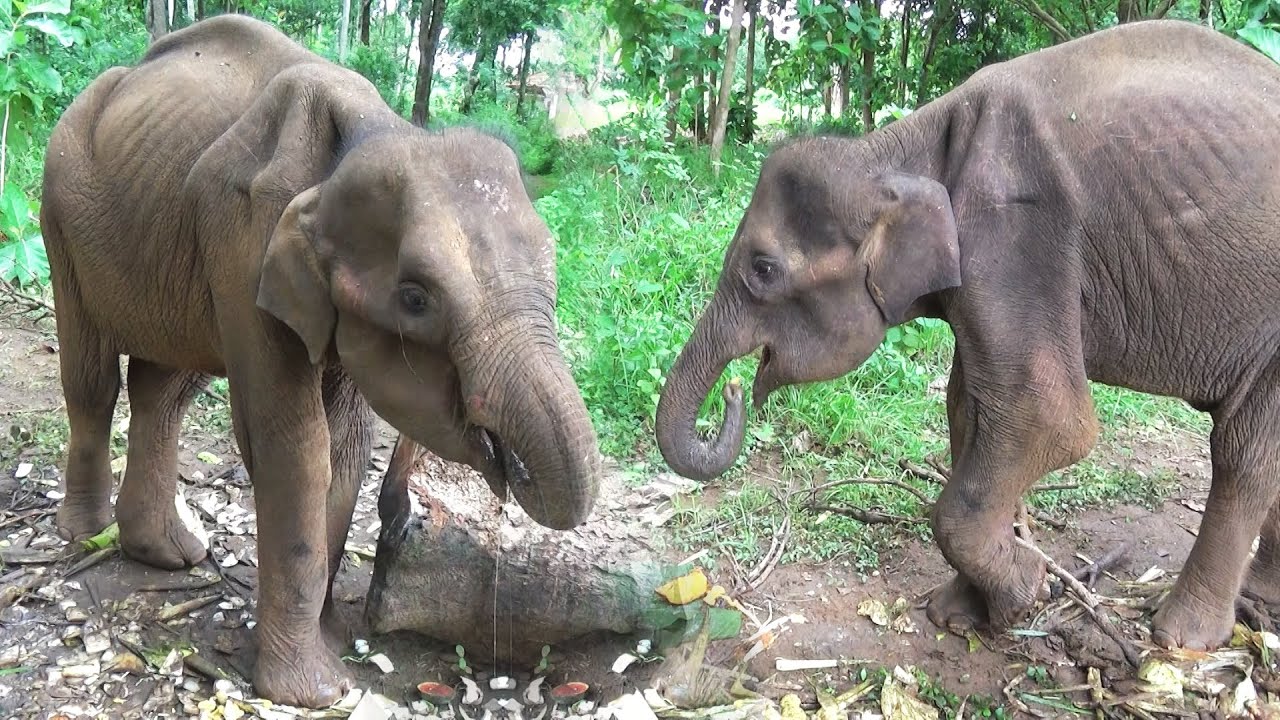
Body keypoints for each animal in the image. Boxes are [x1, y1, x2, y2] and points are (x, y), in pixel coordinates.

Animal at [40, 15, 600, 708]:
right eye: (415, 299)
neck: (374, 131)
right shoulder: (242, 245)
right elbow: (294, 442)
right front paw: (315, 691)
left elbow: (347, 442)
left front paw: (333, 637)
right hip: (60, 204)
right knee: (92, 378)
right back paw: (87, 534)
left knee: (163, 387)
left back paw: (171, 554)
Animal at [654, 18, 1280, 653]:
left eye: (763, 269)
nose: (732, 391)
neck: (895, 149)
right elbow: (969, 408)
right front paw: (959, 613)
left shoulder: (1018, 235)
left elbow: (1048, 418)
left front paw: (1025, 595)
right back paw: (1260, 601)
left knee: (1245, 453)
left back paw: (1181, 636)